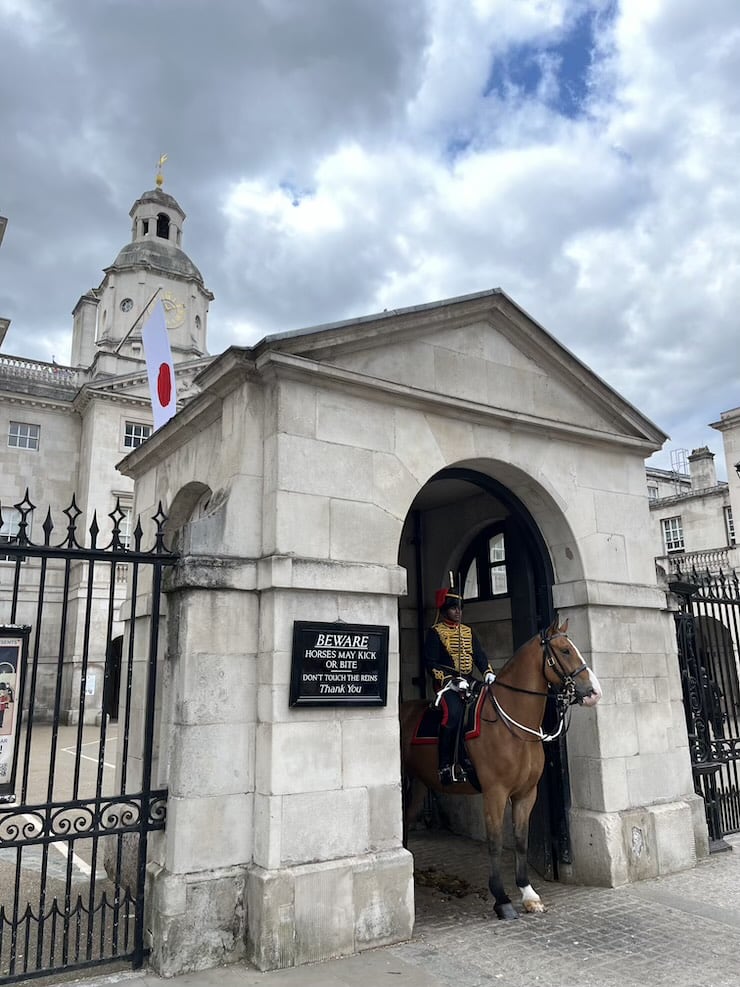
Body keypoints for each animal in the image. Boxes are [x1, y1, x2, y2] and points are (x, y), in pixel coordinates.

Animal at [398, 612, 600, 924]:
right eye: (565, 650)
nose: (594, 692)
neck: (513, 724)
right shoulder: (495, 792)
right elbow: (494, 843)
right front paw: (502, 899)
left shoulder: (526, 793)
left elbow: (520, 840)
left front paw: (528, 894)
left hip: (421, 783)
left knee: (408, 820)